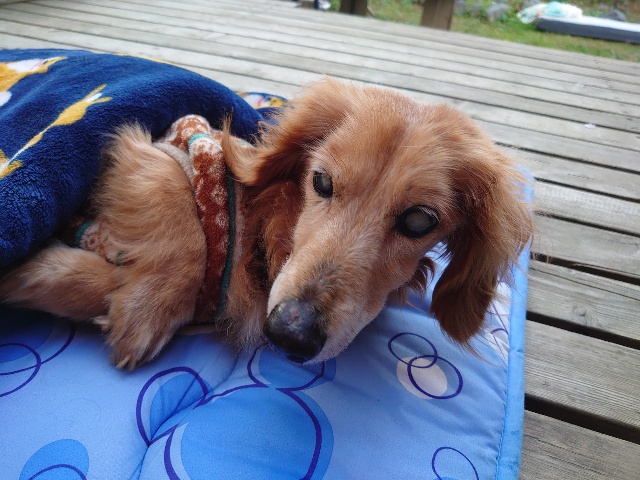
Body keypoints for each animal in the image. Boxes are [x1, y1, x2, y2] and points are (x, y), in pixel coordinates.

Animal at [0, 78, 532, 369]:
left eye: (420, 221)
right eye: (321, 181)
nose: (290, 334)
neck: (259, 235)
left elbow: (91, 283)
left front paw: (43, 276)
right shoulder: (165, 146)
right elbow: (179, 218)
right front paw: (147, 308)